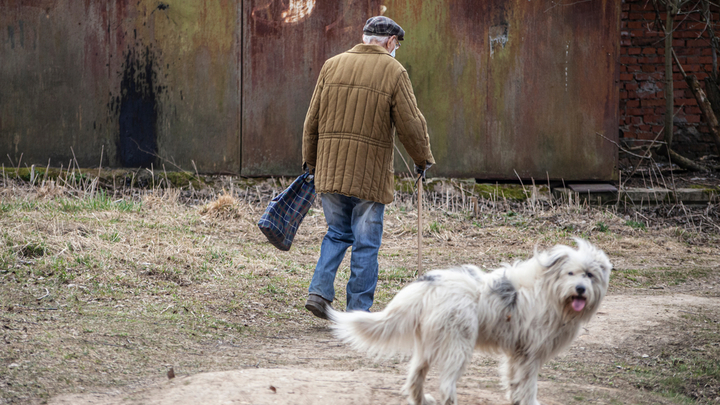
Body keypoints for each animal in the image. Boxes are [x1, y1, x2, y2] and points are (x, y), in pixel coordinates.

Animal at [330, 238, 612, 402]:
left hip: (427, 345)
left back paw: (422, 399)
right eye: (570, 273)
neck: (550, 290)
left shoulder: (518, 353)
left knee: (415, 378)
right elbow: (528, 385)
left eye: (589, 275)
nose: (580, 289)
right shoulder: (530, 354)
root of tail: (428, 286)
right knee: (446, 386)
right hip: (458, 346)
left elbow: (515, 383)